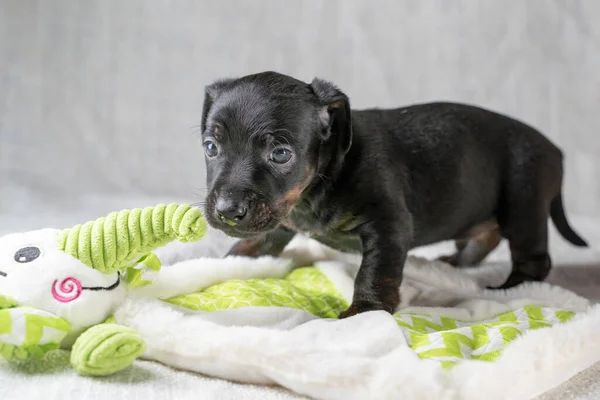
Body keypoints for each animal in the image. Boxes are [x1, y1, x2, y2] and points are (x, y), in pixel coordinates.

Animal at [200, 70, 584, 318]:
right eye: (210, 146)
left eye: (280, 154)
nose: (227, 211)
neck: (316, 186)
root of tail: (556, 150)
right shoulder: (278, 220)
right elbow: (254, 243)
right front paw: (226, 264)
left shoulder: (387, 225)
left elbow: (374, 272)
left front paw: (365, 311)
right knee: (482, 238)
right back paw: (454, 262)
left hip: (523, 205)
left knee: (533, 258)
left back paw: (511, 288)